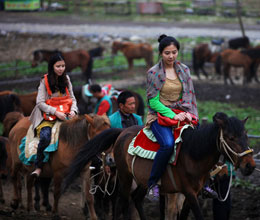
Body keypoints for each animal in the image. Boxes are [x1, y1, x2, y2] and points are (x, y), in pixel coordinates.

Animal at [63, 112, 256, 220]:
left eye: (246, 136)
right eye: (231, 137)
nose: (250, 166)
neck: (193, 155)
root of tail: (122, 132)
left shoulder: (191, 194)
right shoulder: (188, 192)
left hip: (142, 181)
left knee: (136, 199)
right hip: (125, 177)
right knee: (120, 204)